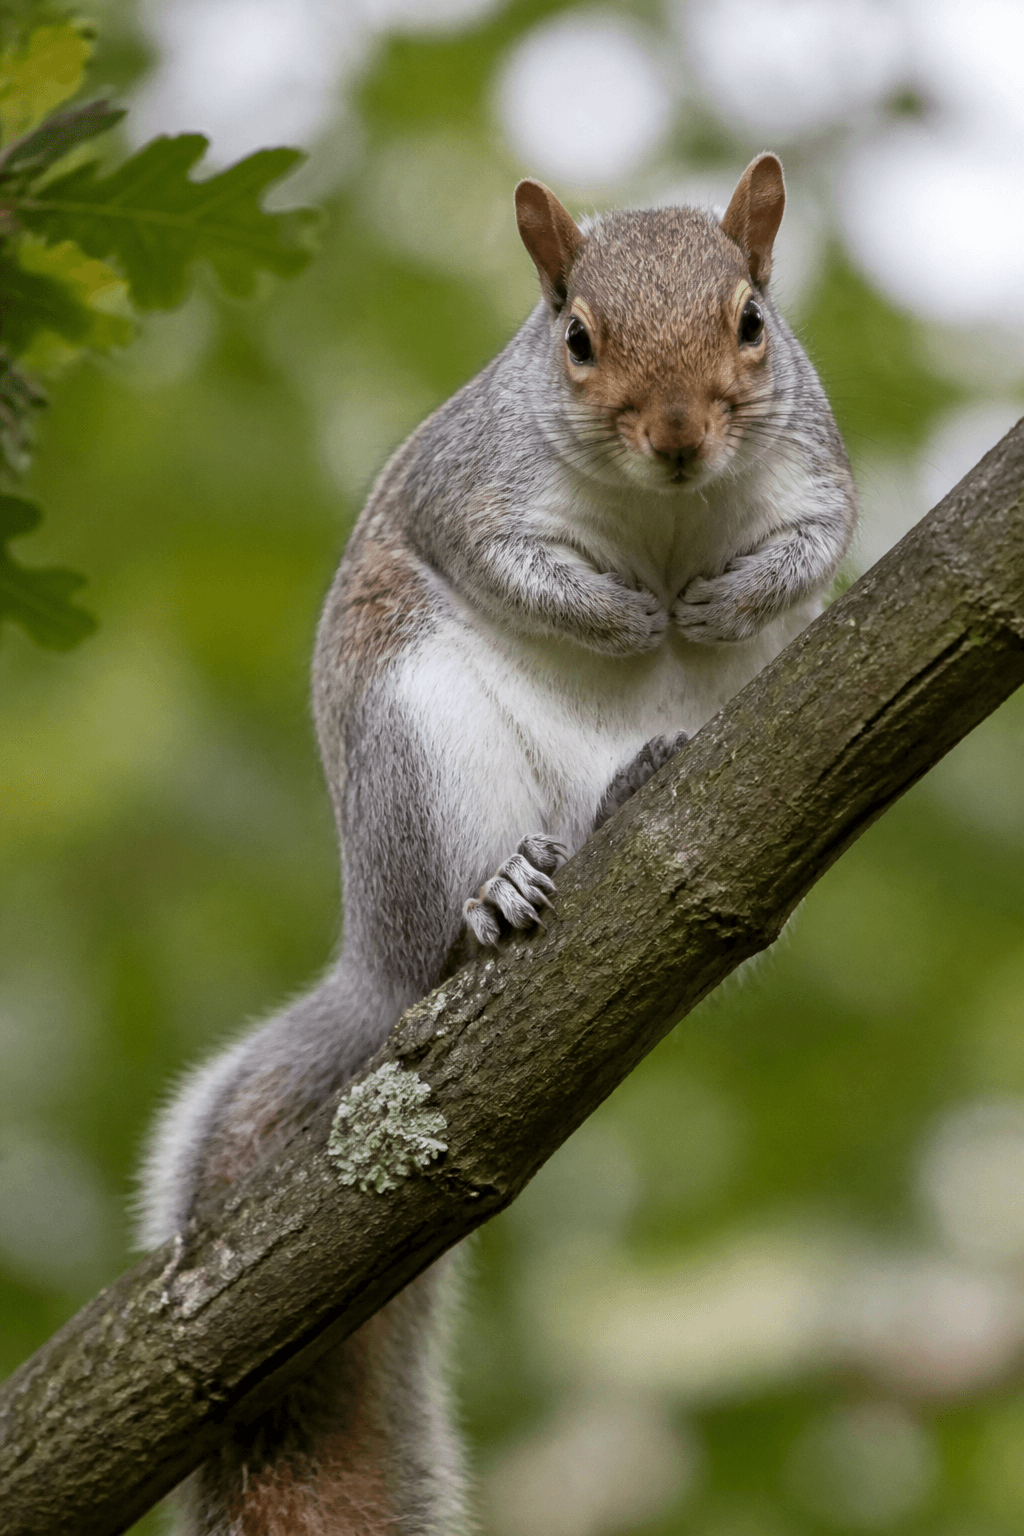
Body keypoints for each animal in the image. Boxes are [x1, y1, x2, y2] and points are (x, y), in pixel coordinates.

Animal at [139, 152, 857, 1534]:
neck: (663, 514)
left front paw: (719, 602)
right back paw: (500, 894)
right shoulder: (468, 484)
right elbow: (504, 561)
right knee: (456, 912)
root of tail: (374, 965)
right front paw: (626, 618)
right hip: (421, 745)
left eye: (751, 322)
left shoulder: (816, 468)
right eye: (575, 337)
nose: (677, 436)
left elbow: (817, 545)